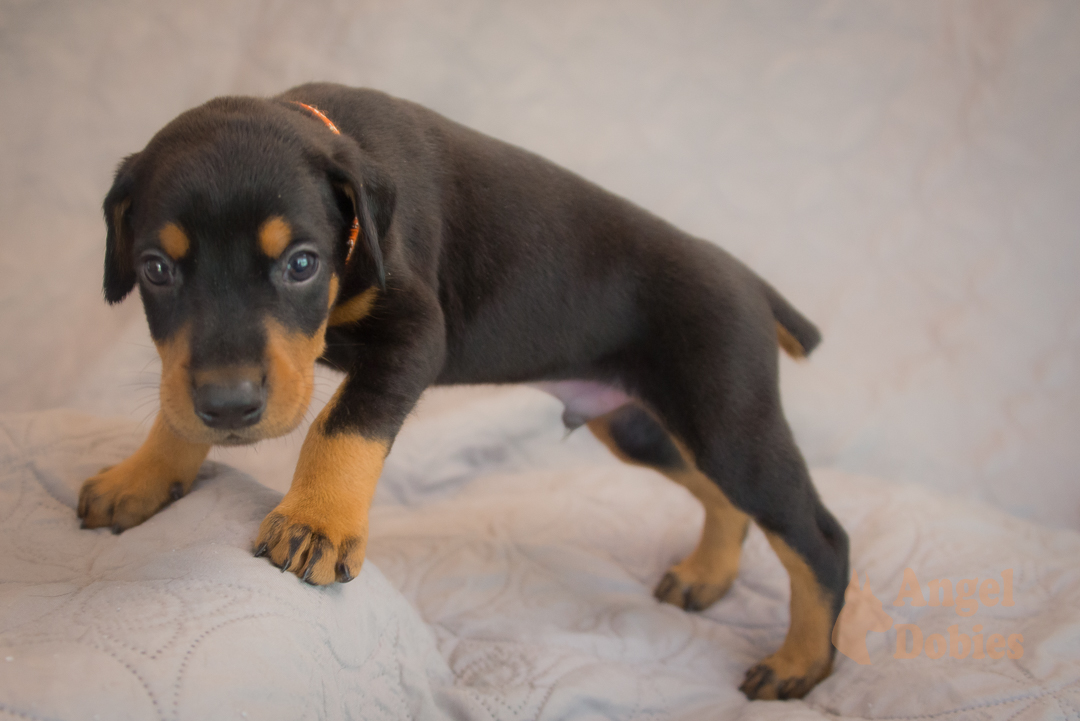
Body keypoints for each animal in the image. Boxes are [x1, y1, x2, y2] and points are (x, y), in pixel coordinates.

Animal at [79, 83, 846, 699]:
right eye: (155, 268)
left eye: (301, 264)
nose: (232, 408)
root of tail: (749, 282)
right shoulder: (191, 369)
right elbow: (176, 407)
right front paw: (143, 476)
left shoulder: (417, 335)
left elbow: (341, 426)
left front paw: (317, 521)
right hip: (640, 424)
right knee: (727, 501)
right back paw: (707, 575)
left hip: (727, 421)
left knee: (817, 536)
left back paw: (801, 662)